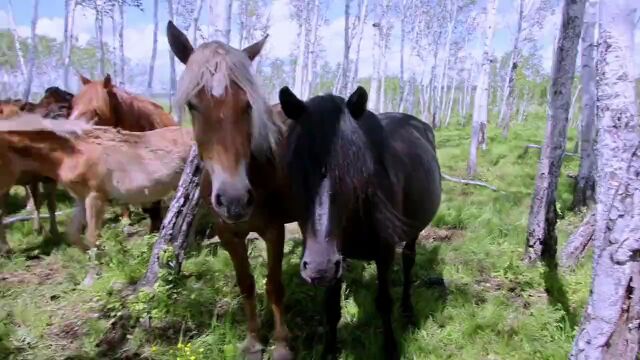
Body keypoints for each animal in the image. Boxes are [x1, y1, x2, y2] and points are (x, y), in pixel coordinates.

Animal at [0, 114, 195, 284]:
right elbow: (73, 234)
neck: (73, 153)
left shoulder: (95, 198)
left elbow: (92, 236)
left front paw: (92, 277)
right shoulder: (81, 199)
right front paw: (105, 259)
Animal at [166, 20, 294, 360]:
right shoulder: (227, 233)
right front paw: (253, 341)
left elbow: (274, 284)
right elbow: (246, 283)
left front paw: (281, 343)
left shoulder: (274, 229)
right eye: (193, 105)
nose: (235, 200)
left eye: (247, 104)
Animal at [278, 86, 442, 358]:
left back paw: (407, 309)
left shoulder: (384, 252)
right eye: (294, 170)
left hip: (412, 233)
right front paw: (329, 351)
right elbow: (332, 308)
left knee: (409, 261)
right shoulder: (338, 257)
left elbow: (384, 302)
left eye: (353, 171)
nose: (318, 268)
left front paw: (390, 348)